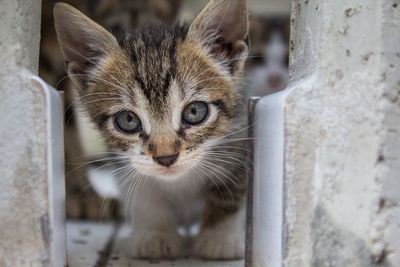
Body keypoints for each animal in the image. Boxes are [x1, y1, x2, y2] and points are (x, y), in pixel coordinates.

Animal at [53, 0, 247, 260]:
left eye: (194, 111)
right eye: (128, 120)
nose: (166, 158)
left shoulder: (238, 141)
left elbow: (229, 192)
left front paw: (218, 238)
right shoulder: (124, 163)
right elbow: (145, 198)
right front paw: (156, 235)